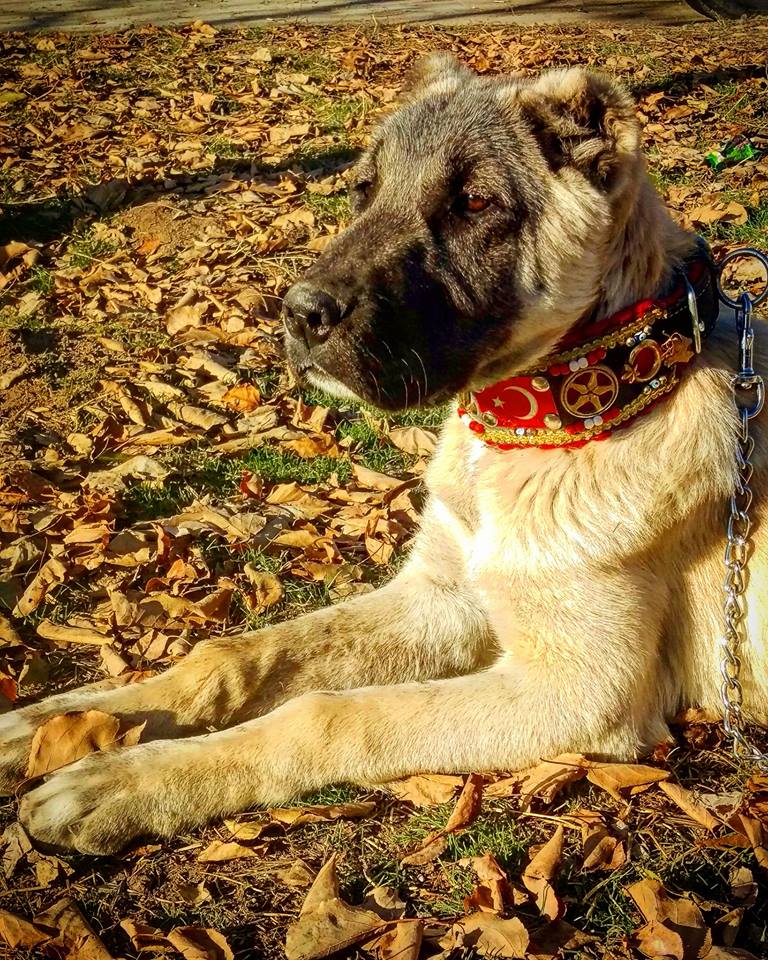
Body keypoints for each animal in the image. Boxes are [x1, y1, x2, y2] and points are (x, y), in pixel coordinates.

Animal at [2, 54, 766, 855]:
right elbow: (238, 655)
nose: (299, 313)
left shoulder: (582, 692)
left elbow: (329, 712)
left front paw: (124, 782)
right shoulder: (438, 597)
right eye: (363, 189)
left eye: (474, 203)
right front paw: (62, 724)